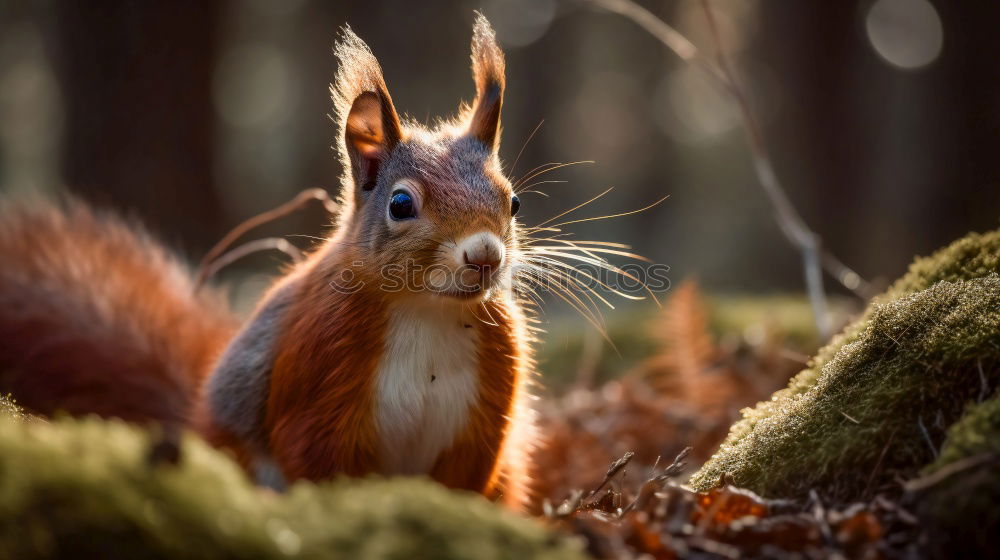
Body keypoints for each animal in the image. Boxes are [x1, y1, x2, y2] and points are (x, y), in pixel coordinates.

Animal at [0, 16, 544, 508]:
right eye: (401, 204)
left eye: (513, 202)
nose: (484, 255)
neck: (428, 307)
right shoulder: (319, 368)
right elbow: (315, 459)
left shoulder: (490, 402)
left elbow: (467, 481)